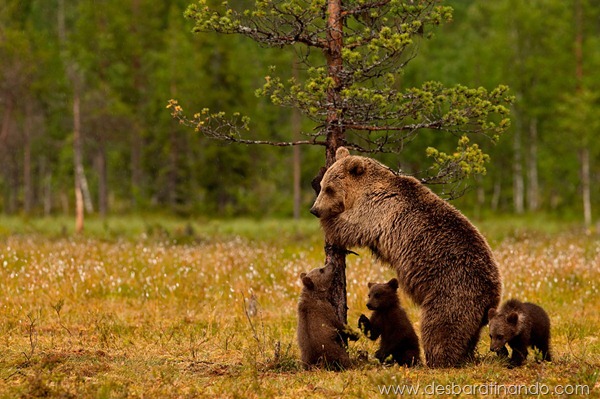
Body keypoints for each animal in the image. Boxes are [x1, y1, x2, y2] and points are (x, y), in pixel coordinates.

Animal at [310, 148, 502, 368]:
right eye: (323, 186)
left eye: (330, 189)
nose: (315, 210)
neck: (363, 191)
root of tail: (492, 294)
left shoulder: (375, 212)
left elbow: (348, 227)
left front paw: (329, 221)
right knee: (469, 335)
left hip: (453, 292)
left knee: (441, 328)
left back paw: (438, 360)